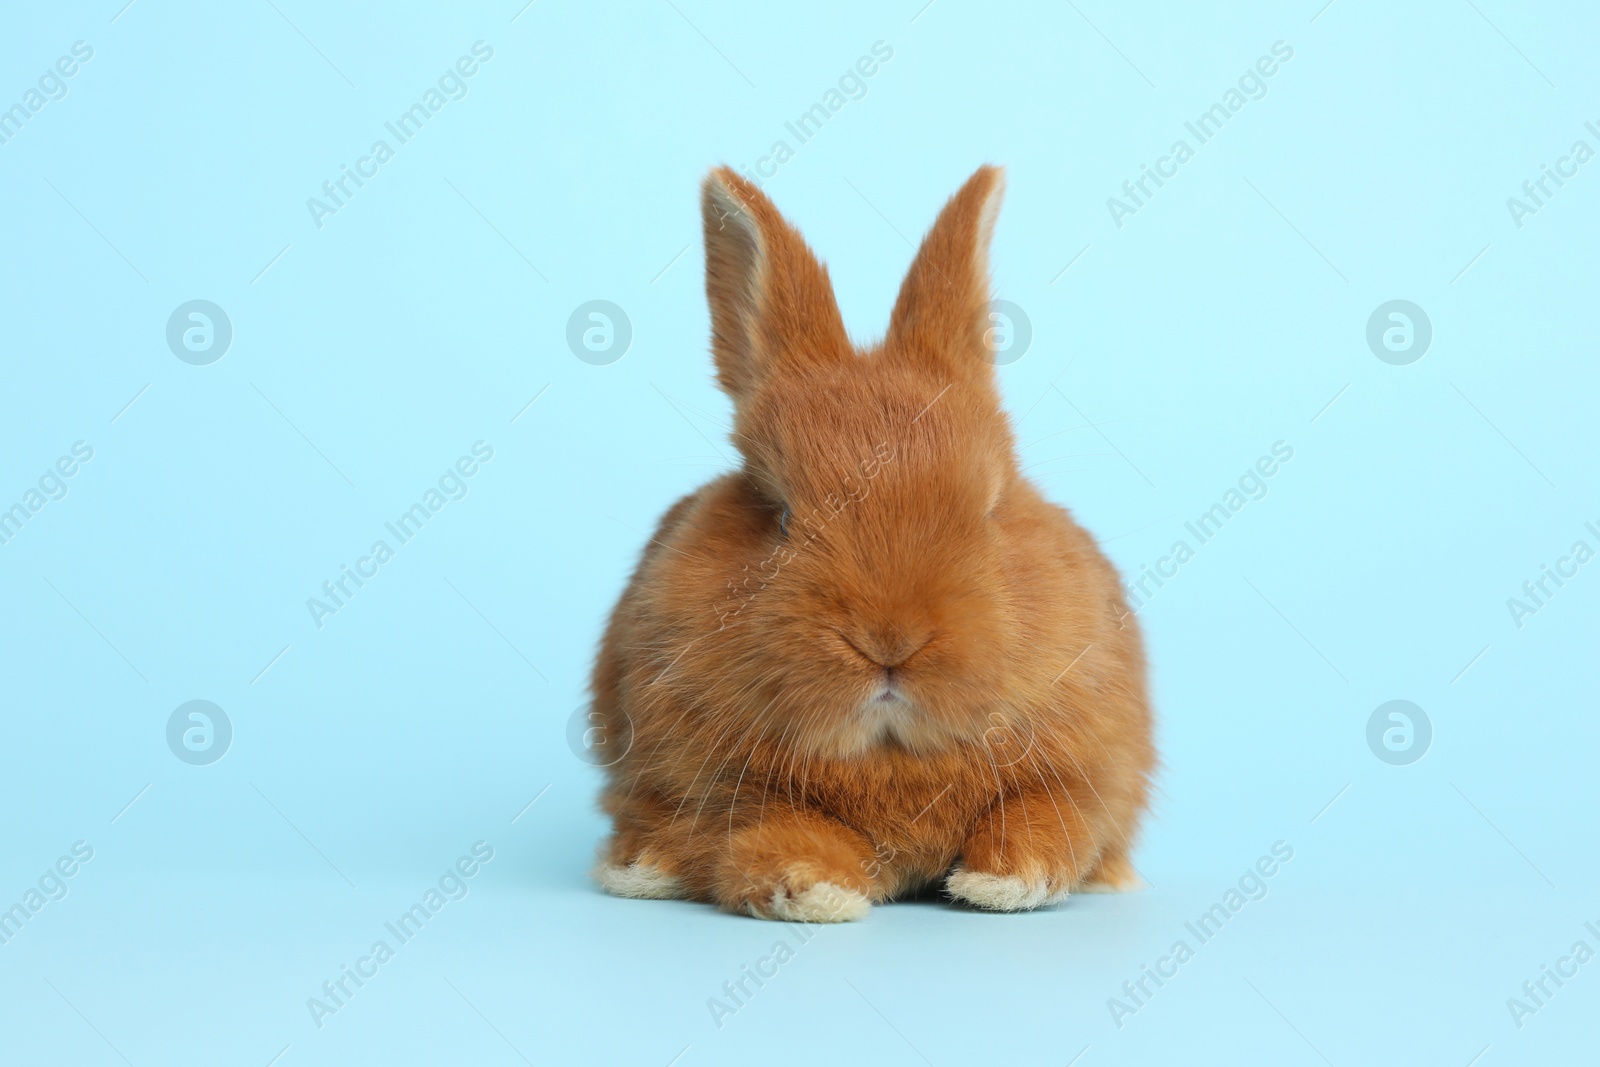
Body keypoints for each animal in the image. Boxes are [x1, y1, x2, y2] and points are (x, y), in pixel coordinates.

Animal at [588, 163, 1152, 921]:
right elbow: (769, 830)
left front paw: (1004, 879)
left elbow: (1049, 817)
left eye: (990, 507)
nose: (891, 641)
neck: (889, 755)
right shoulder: (711, 791)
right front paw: (814, 889)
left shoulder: (1089, 769)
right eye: (780, 513)